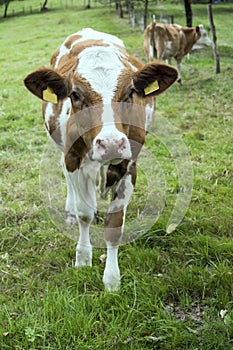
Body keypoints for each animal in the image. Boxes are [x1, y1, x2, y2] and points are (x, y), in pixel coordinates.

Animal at [23, 26, 177, 290]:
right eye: (75, 95)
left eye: (131, 92)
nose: (112, 144)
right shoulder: (72, 157)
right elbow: (84, 212)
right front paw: (83, 258)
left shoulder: (129, 165)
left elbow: (114, 225)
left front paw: (112, 280)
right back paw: (71, 211)